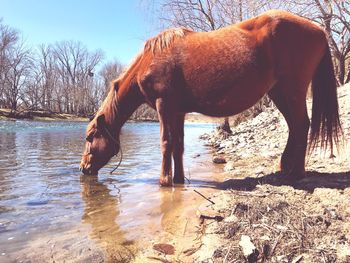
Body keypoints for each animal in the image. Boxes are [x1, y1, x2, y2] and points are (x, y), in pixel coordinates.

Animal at [79, 10, 342, 187]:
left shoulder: (164, 106)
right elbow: (178, 145)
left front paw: (164, 181)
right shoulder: (178, 111)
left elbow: (165, 142)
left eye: (91, 137)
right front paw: (178, 178)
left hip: (292, 91)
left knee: (301, 125)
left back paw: (297, 172)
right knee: (295, 127)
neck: (150, 61)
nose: (83, 168)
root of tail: (319, 30)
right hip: (279, 93)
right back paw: (285, 168)